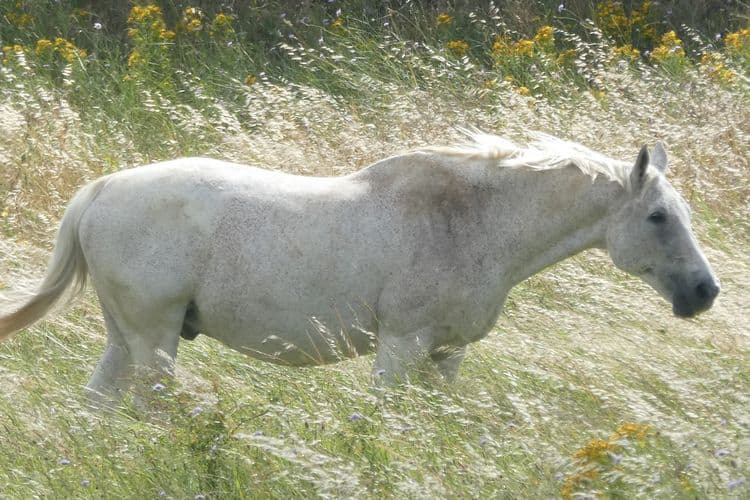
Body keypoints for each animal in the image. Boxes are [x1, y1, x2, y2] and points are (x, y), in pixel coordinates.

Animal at [0, 132, 719, 404]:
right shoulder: (401, 347)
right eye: (658, 216)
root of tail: (99, 190)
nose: (705, 292)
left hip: (127, 336)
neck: (472, 222)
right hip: (154, 340)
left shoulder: (446, 355)